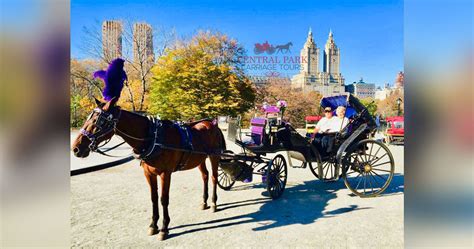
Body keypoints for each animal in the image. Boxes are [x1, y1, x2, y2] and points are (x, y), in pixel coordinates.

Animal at [71, 98, 226, 240]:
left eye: (99, 121)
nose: (76, 148)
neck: (153, 137)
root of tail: (212, 124)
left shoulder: (165, 174)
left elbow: (163, 199)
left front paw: (164, 228)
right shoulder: (149, 174)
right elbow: (153, 198)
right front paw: (153, 225)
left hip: (214, 156)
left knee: (213, 177)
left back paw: (213, 203)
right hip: (200, 159)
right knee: (205, 176)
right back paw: (204, 202)